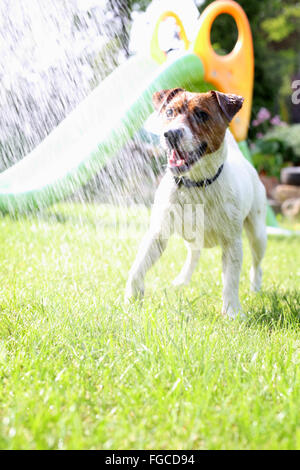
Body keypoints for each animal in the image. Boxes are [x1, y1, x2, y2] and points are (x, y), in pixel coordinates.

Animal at [125, 87, 266, 320]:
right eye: (170, 112)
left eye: (201, 114)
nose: (171, 134)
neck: (196, 185)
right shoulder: (158, 233)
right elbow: (138, 266)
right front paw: (132, 298)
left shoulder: (232, 243)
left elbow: (231, 279)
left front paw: (232, 312)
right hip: (191, 236)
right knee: (194, 254)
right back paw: (182, 281)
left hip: (257, 233)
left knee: (257, 263)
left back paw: (256, 287)